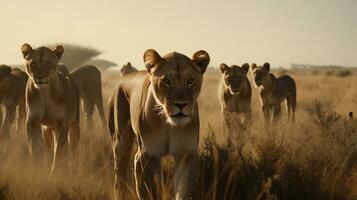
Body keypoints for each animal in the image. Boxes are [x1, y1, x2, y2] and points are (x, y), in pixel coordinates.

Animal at [108, 49, 209, 199]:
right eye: (166, 81)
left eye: (190, 81)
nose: (181, 104)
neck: (168, 124)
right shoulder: (147, 155)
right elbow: (150, 192)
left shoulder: (186, 155)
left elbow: (182, 191)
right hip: (121, 143)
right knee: (119, 179)